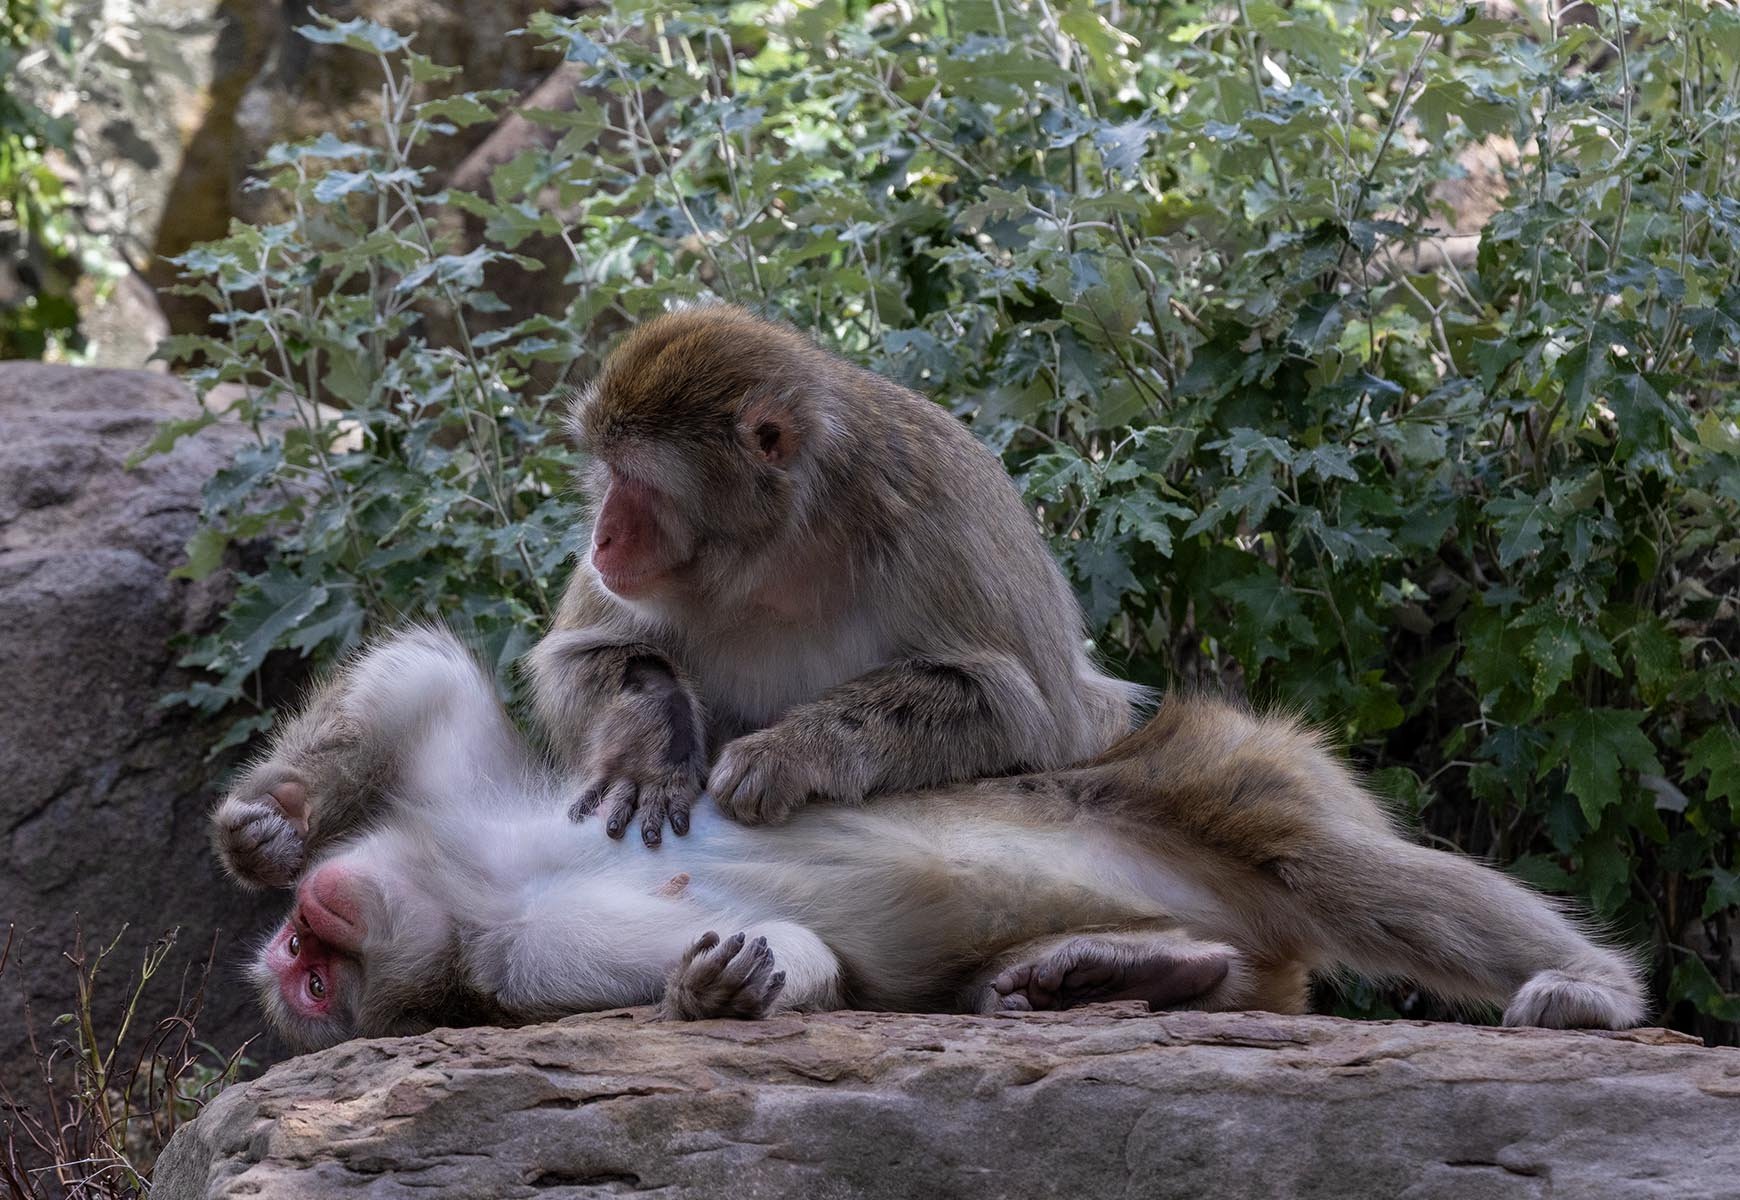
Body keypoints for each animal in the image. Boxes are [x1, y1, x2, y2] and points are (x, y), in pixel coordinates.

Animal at [212, 627, 1646, 1050]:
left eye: (310, 958)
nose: (294, 947)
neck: (475, 889)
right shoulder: (522, 964)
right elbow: (805, 959)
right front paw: (719, 989)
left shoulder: (479, 822)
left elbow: (427, 682)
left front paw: (267, 818)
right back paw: (1107, 976)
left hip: (1203, 767)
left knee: (1350, 872)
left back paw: (1591, 985)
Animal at [527, 304, 1143, 846]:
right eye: (609, 472)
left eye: (634, 478)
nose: (600, 538)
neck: (777, 550)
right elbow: (577, 660)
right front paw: (655, 745)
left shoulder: (937, 525)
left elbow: (1016, 711)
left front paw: (786, 753)